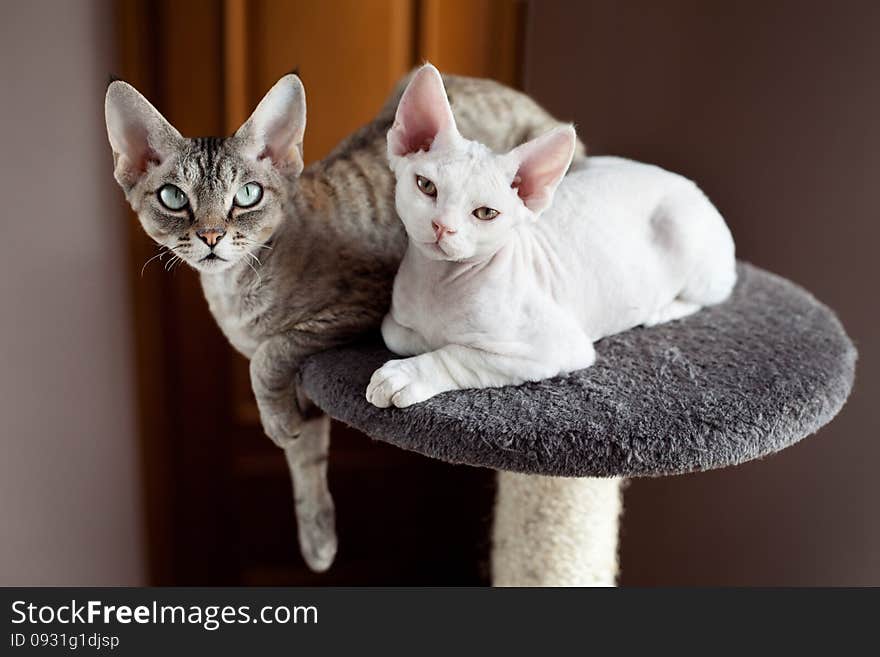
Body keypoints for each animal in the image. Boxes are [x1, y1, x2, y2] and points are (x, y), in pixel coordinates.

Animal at [364, 64, 736, 408]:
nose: (442, 226)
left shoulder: (554, 348)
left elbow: (459, 354)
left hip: (687, 238)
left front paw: (405, 374)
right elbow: (397, 334)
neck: (438, 282)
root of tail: (686, 182)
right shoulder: (395, 321)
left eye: (485, 214)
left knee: (709, 294)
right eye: (426, 186)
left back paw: (661, 309)